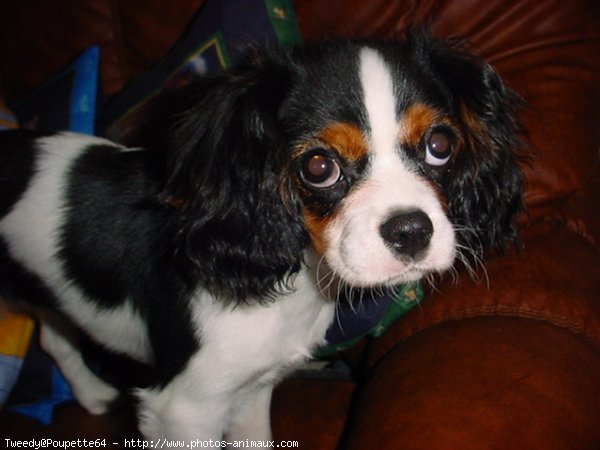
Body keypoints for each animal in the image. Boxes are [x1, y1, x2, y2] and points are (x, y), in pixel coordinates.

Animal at [0, 33, 520, 442]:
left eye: (440, 146)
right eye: (318, 166)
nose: (410, 230)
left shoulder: (251, 390)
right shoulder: (185, 410)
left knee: (53, 336)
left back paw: (90, 394)